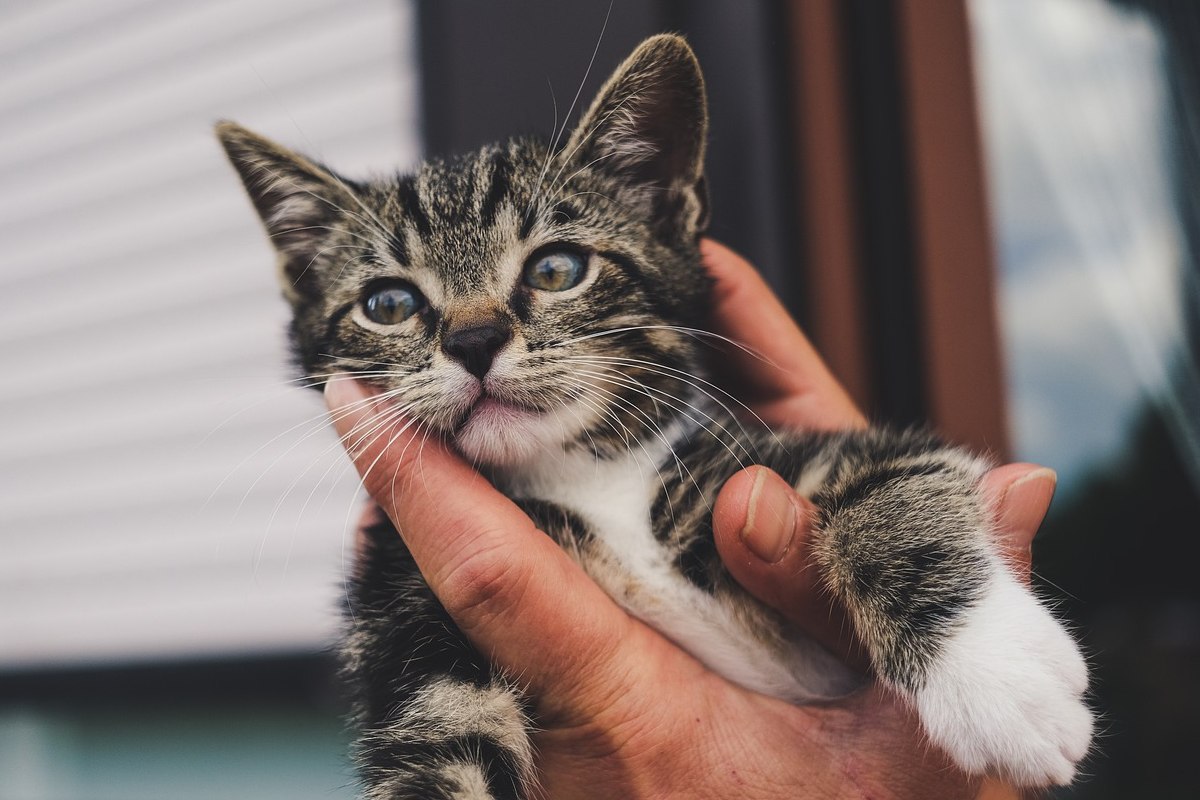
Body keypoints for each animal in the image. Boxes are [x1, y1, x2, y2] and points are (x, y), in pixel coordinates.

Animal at [220, 34, 1094, 796]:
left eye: (557, 268)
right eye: (389, 304)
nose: (472, 340)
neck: (587, 480)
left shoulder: (780, 467)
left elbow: (892, 485)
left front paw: (999, 675)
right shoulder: (406, 609)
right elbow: (439, 745)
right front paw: (1004, 678)